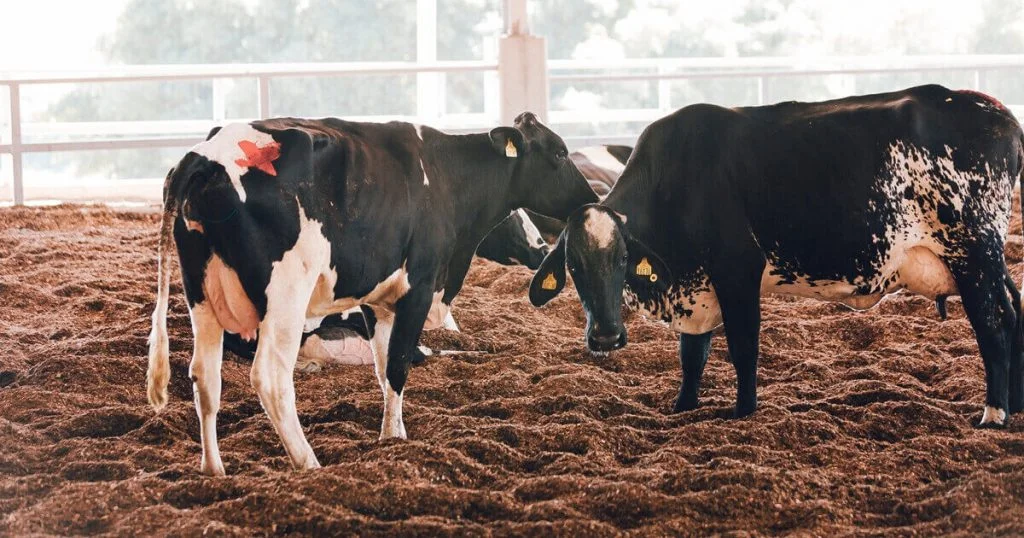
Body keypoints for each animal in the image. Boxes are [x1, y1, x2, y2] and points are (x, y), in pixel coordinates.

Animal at [146, 112, 598, 475]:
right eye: (559, 153)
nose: (592, 199)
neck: (446, 177)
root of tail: (204, 156)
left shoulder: (376, 300)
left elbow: (383, 369)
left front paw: (393, 435)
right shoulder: (418, 287)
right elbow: (398, 365)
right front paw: (392, 438)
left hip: (201, 296)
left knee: (205, 378)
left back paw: (214, 469)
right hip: (286, 299)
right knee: (271, 378)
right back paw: (307, 462)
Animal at [529, 85, 1024, 428]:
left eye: (621, 259)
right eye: (573, 266)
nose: (606, 337)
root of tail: (995, 111)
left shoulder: (737, 270)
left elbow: (743, 348)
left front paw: (744, 411)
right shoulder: (697, 286)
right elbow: (692, 355)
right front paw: (683, 407)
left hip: (973, 255)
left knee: (994, 325)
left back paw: (994, 413)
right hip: (989, 261)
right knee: (1014, 309)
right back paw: (1015, 406)